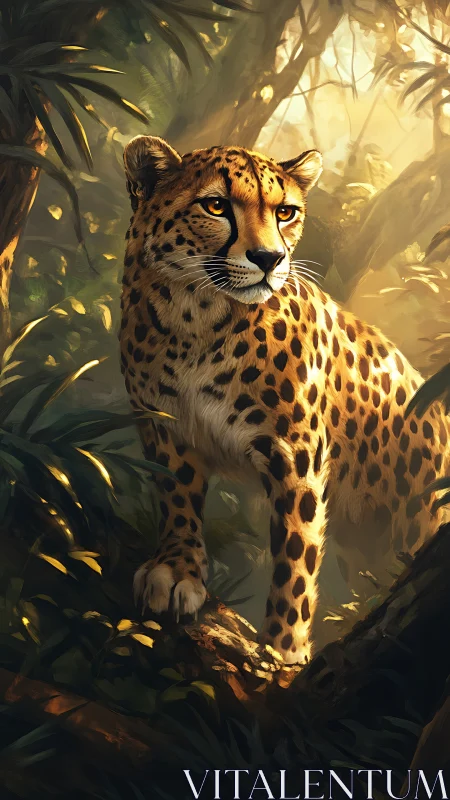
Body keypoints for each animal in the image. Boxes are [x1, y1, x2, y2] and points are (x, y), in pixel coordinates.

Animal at [120, 134, 450, 665]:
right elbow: (177, 499)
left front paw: (283, 652)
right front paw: (177, 569)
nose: (269, 258)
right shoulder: (165, 424)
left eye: (286, 212)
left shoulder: (296, 454)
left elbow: (296, 558)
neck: (194, 317)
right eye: (216, 206)